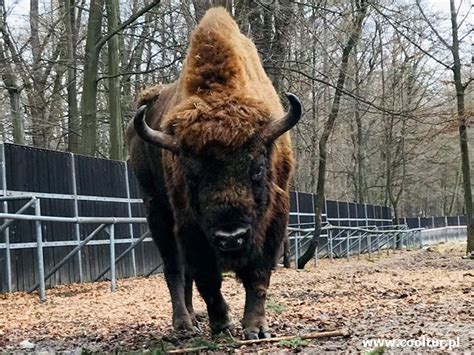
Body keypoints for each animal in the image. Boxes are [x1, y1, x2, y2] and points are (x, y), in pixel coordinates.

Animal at [128, 6, 302, 340]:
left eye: (258, 168)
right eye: (190, 175)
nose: (230, 237)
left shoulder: (274, 220)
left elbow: (258, 274)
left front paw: (256, 328)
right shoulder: (190, 225)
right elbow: (207, 278)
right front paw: (222, 324)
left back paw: (194, 321)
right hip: (156, 210)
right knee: (174, 269)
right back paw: (184, 324)